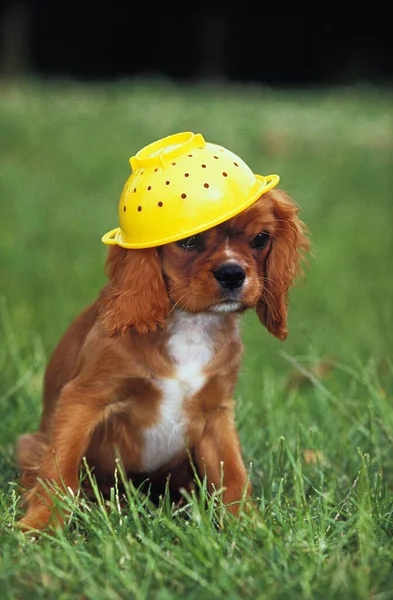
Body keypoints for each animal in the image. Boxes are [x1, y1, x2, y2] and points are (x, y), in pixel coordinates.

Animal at [16, 188, 308, 528]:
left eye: (260, 239)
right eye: (189, 241)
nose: (233, 273)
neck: (192, 323)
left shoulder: (216, 413)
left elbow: (233, 474)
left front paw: (248, 526)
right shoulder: (84, 398)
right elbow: (59, 467)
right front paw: (42, 524)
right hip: (30, 444)